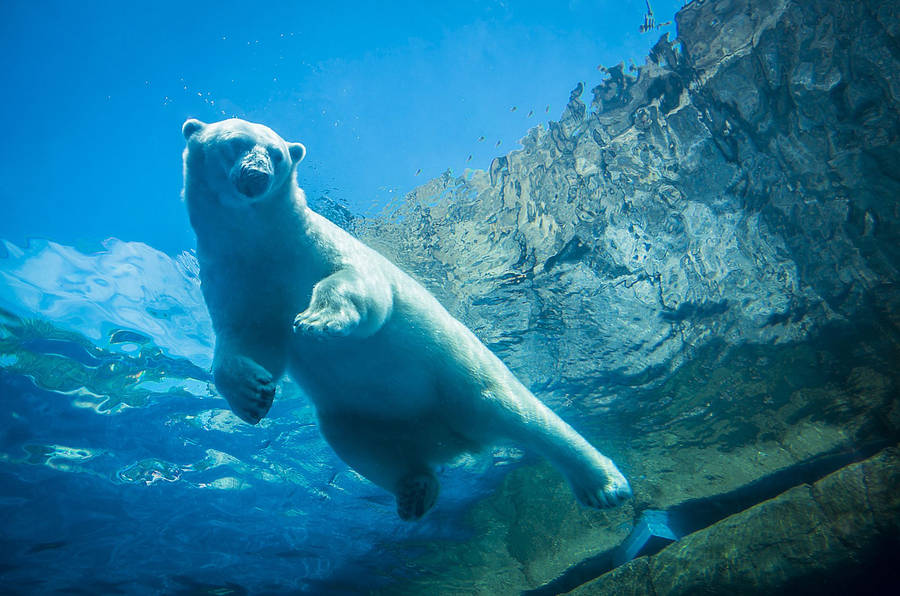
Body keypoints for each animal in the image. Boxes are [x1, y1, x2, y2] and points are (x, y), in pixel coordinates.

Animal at [181, 118, 632, 520]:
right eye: (236, 143)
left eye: (275, 153)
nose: (257, 175)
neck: (262, 240)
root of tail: (454, 441)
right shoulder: (236, 274)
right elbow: (250, 339)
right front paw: (251, 394)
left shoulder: (316, 246)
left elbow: (362, 288)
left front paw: (317, 320)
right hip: (367, 417)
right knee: (359, 447)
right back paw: (415, 488)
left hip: (464, 376)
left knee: (529, 416)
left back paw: (603, 484)